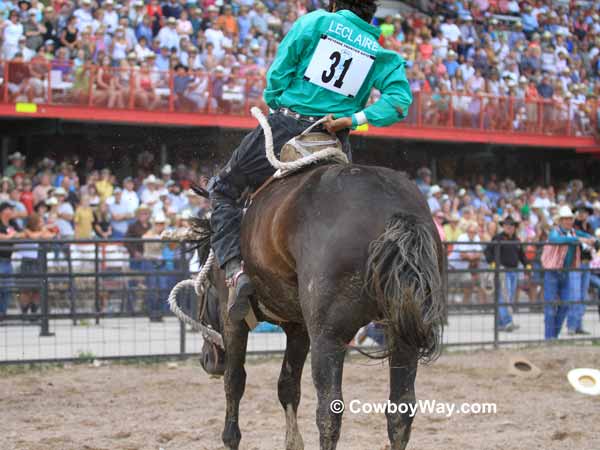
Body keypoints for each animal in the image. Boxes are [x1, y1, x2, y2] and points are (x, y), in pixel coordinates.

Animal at [180, 119, 442, 450]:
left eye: (204, 293)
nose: (207, 360)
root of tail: (393, 210)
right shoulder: (299, 327)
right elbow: (287, 385)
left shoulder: (234, 320)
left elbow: (235, 381)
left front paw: (230, 437)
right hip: (401, 332)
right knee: (400, 410)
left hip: (329, 337)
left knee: (330, 411)